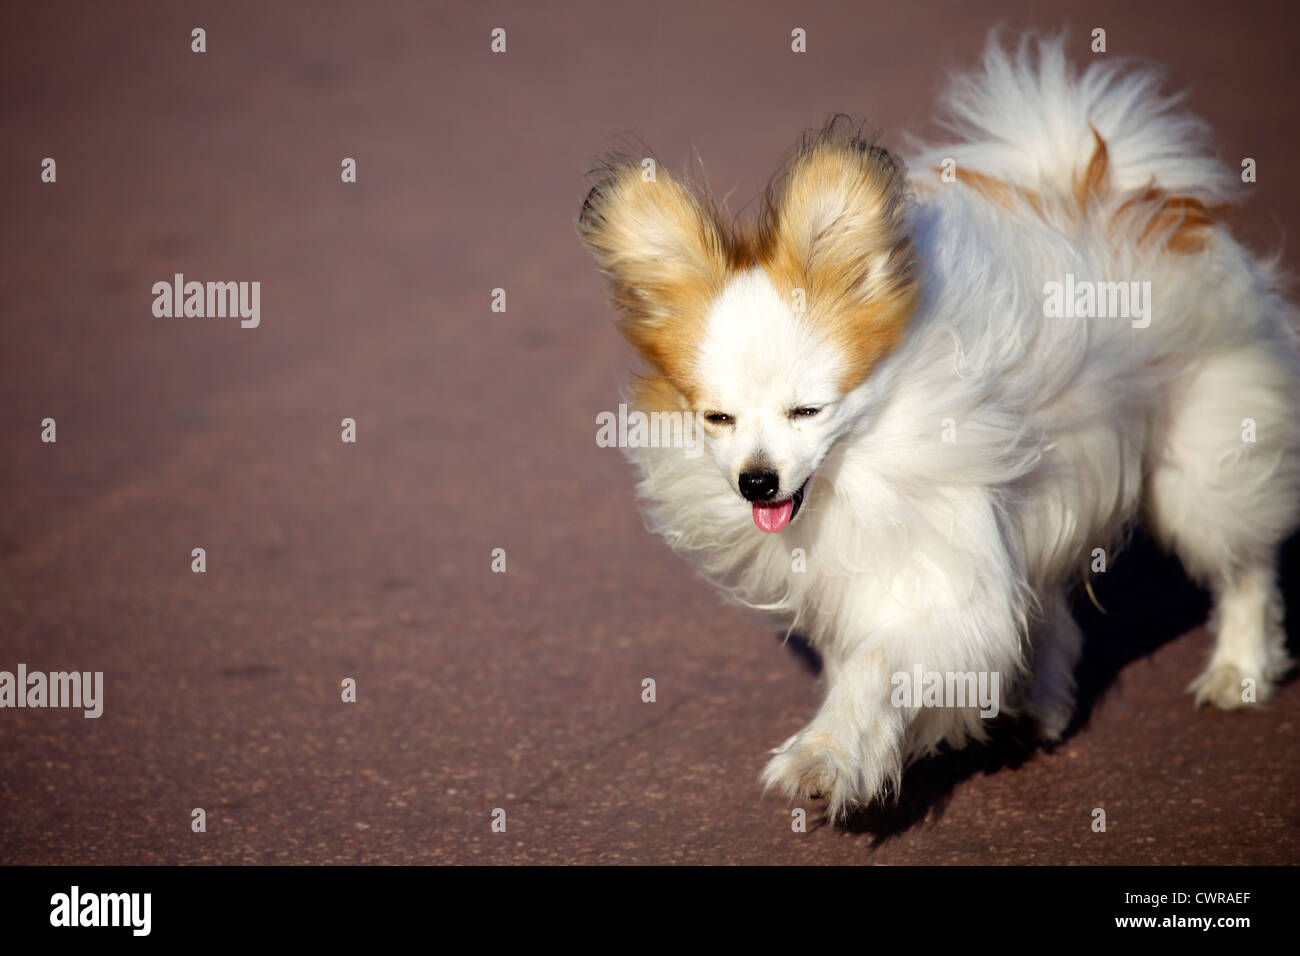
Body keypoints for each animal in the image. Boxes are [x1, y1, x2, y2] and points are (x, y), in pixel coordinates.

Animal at [579, 33, 1300, 816]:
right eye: (716, 418)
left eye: (808, 411)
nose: (756, 481)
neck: (859, 462)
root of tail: (1133, 189)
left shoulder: (936, 566)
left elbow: (877, 665)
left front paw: (826, 756)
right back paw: (1041, 703)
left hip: (1198, 464)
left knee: (1245, 567)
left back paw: (1239, 670)